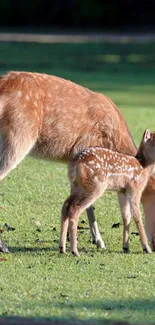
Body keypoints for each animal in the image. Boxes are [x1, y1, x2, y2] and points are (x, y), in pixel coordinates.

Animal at [59, 128, 155, 256]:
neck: (143, 166)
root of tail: (75, 163)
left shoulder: (122, 191)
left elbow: (126, 217)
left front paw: (126, 247)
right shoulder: (135, 187)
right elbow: (137, 216)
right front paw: (146, 248)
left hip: (77, 187)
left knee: (65, 206)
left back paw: (62, 248)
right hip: (95, 186)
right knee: (75, 209)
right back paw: (75, 251)